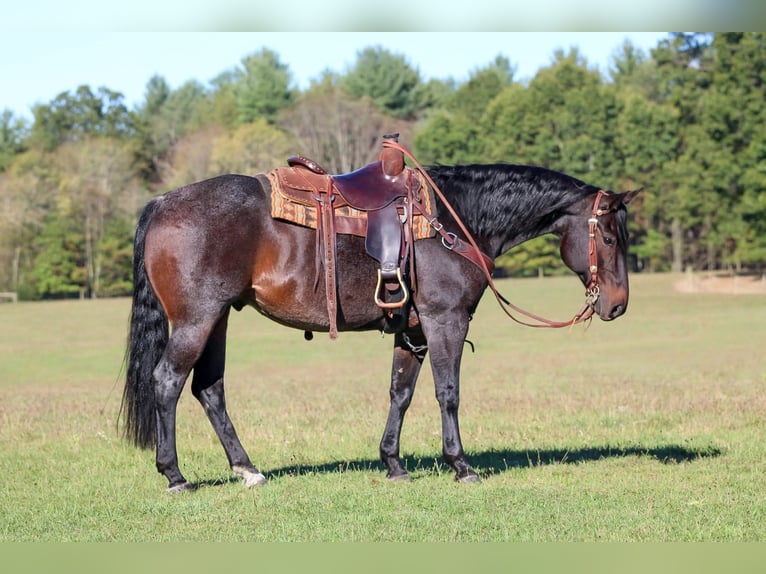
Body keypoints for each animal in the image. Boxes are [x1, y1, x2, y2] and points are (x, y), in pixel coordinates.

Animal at [121, 148, 640, 492]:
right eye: (609, 238)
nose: (617, 305)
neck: (454, 217)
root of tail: (164, 202)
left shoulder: (411, 330)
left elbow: (401, 392)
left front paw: (392, 463)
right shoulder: (445, 321)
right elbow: (448, 393)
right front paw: (461, 465)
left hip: (219, 319)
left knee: (209, 389)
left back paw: (247, 469)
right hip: (197, 320)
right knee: (167, 381)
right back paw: (175, 475)